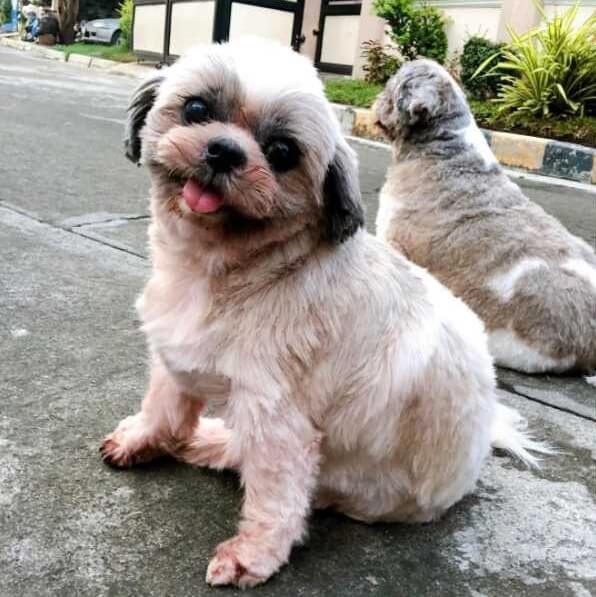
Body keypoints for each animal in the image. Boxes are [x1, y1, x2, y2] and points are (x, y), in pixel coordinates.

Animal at [100, 39, 545, 587]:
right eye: (197, 109)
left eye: (282, 153)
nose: (225, 150)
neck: (233, 272)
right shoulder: (175, 355)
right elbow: (163, 405)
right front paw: (144, 439)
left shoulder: (277, 417)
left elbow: (275, 497)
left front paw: (252, 555)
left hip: (355, 484)